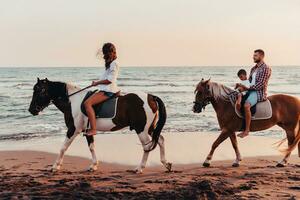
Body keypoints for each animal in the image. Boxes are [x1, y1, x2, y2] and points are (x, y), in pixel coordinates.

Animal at [29, 78, 173, 173]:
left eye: (40, 90)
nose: (32, 110)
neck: (72, 101)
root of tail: (151, 97)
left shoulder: (73, 129)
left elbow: (63, 147)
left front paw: (55, 166)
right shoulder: (87, 130)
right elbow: (91, 147)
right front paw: (93, 165)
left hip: (141, 129)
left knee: (147, 147)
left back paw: (139, 168)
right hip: (149, 128)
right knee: (160, 140)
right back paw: (166, 164)